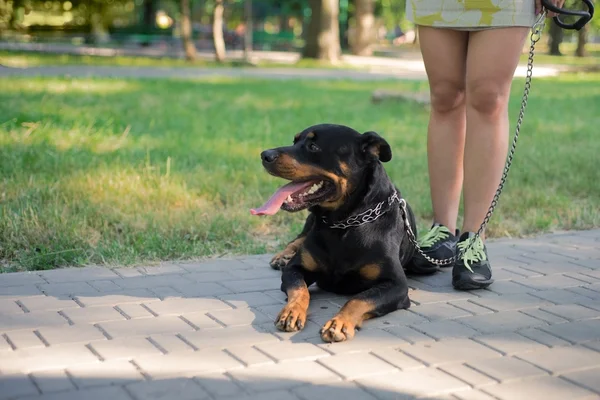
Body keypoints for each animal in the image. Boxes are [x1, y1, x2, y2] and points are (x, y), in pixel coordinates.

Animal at [252, 123, 418, 342]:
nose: (265, 155)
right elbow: (299, 289)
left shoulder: (396, 285)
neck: (343, 223)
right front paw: (291, 311)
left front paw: (338, 323)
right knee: (298, 238)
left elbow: (358, 299)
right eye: (295, 140)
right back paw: (282, 256)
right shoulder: (295, 269)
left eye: (313, 146)